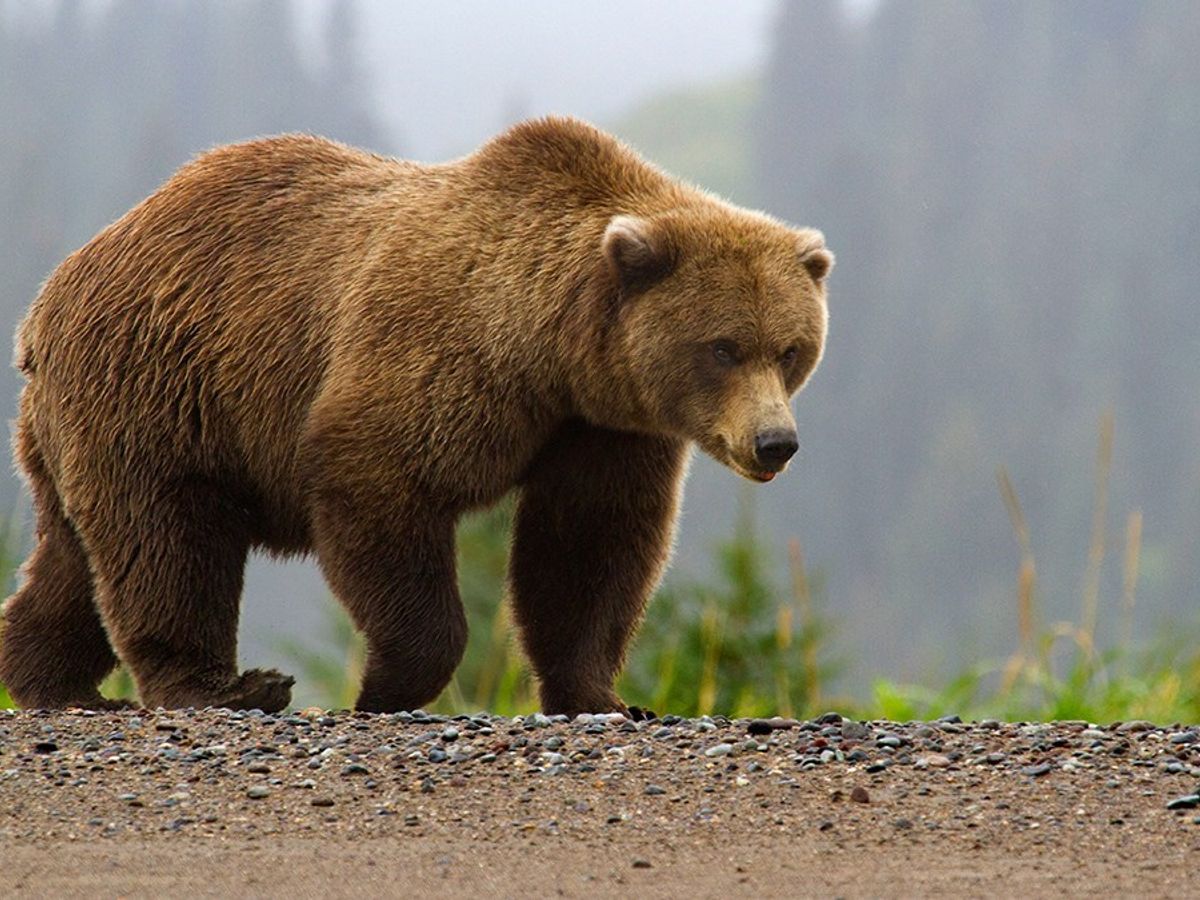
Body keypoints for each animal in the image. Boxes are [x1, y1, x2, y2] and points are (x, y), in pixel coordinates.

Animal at [0, 116, 825, 715]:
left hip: (88, 421)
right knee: (168, 540)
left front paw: (602, 696)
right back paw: (226, 687)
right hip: (162, 385)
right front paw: (384, 686)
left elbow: (589, 546)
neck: (552, 350)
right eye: (722, 347)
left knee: (76, 556)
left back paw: (50, 679)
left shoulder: (602, 427)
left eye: (791, 349)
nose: (776, 442)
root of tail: (50, 297)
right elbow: (380, 484)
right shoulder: (439, 356)